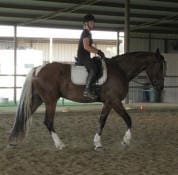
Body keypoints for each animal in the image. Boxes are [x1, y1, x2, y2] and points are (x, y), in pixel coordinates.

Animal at [7, 49, 166, 150]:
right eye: (159, 66)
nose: (160, 86)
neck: (120, 70)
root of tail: (38, 69)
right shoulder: (114, 101)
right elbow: (128, 119)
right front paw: (125, 141)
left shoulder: (108, 102)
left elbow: (102, 121)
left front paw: (97, 144)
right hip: (50, 101)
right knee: (48, 121)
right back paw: (60, 145)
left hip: (38, 99)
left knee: (24, 117)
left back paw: (12, 142)